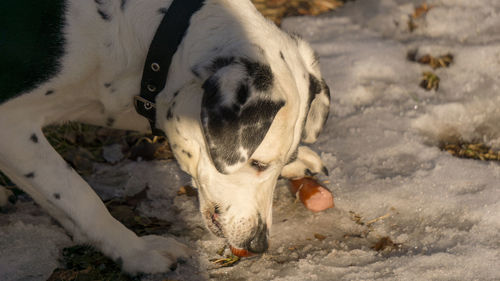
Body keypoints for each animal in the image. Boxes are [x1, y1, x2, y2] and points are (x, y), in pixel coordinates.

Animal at [0, 0, 332, 272]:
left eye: (277, 162)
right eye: (257, 163)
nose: (258, 245)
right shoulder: (12, 124)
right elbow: (79, 196)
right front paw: (136, 251)